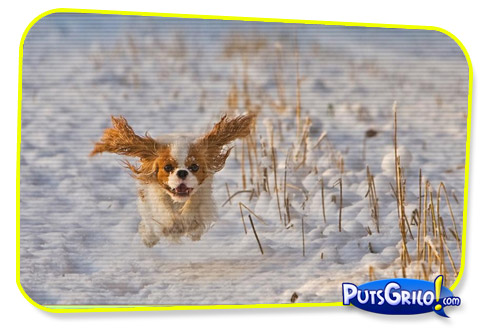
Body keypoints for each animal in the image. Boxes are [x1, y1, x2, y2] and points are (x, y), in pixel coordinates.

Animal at [89, 114, 255, 246]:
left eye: (194, 167)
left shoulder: (201, 199)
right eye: (168, 167)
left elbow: (194, 213)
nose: (182, 172)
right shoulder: (154, 202)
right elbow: (163, 218)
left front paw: (189, 222)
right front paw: (171, 226)